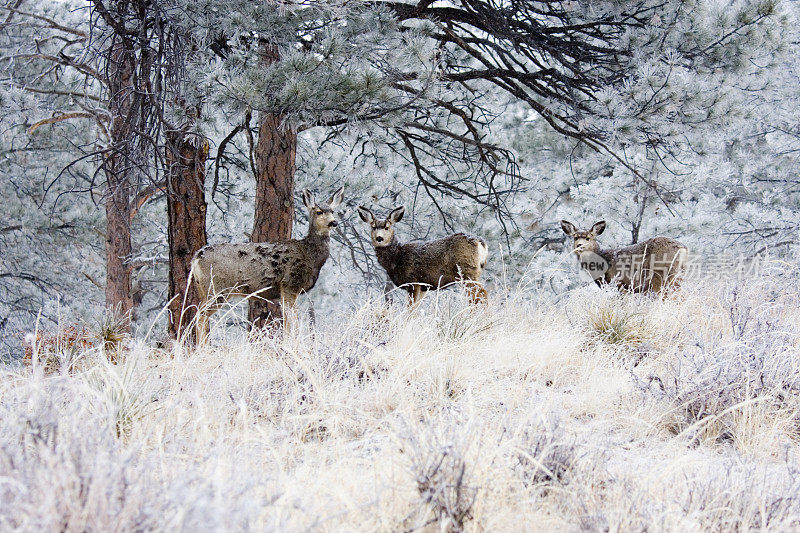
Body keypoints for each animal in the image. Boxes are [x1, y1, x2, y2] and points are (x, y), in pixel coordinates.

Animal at [356, 204, 488, 304]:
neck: (397, 257)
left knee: (482, 294)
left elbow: (410, 309)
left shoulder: (413, 281)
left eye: (387, 227)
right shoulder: (425, 286)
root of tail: (481, 243)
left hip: (466, 271)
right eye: (373, 227)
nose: (379, 238)